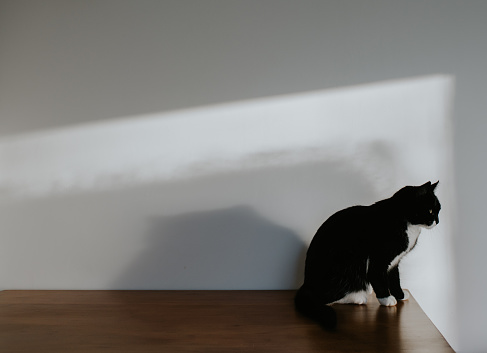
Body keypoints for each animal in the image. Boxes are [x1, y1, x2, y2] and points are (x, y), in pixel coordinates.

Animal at [296, 182, 440, 328]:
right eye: (430, 211)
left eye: (438, 210)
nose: (437, 221)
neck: (407, 223)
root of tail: (306, 284)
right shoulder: (379, 258)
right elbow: (377, 276)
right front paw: (386, 298)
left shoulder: (394, 262)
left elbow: (395, 279)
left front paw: (399, 294)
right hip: (346, 265)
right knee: (324, 298)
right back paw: (357, 296)